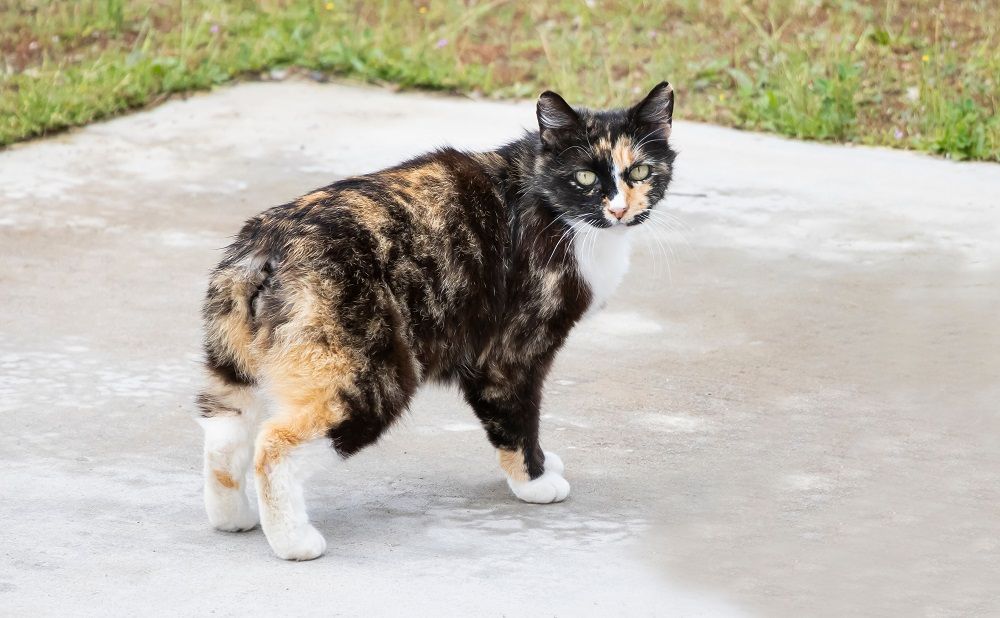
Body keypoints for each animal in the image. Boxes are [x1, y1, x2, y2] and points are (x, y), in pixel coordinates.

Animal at [193, 82, 680, 560]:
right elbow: (517, 419)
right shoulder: (510, 353)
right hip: (372, 376)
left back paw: (233, 519)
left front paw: (542, 465)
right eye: (584, 176)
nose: (619, 209)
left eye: (640, 172)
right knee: (274, 446)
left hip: (233, 366)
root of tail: (266, 245)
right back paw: (294, 543)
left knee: (223, 437)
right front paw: (535, 480)